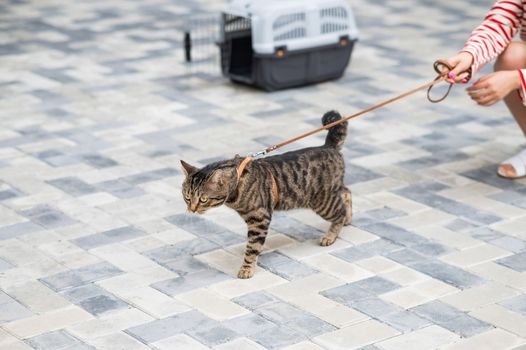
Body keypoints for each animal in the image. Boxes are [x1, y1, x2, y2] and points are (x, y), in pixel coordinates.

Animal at [183, 110, 354, 278]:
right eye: (187, 197)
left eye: (203, 199)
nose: (192, 209)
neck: (238, 182)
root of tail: (328, 146)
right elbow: (254, 244)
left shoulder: (259, 219)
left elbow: (252, 247)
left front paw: (247, 268)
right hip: (331, 192)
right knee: (346, 192)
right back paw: (348, 218)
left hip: (322, 202)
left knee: (339, 212)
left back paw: (331, 235)